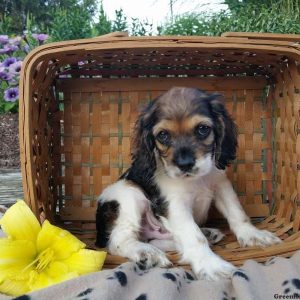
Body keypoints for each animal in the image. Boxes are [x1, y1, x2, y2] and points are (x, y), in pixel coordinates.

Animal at [96, 86, 282, 282]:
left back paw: (207, 234)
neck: (195, 180)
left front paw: (253, 235)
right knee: (118, 241)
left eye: (202, 129)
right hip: (130, 195)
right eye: (163, 135)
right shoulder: (175, 206)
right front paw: (211, 265)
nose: (184, 164)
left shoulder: (221, 185)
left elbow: (237, 212)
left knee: (158, 240)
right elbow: (193, 236)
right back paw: (147, 253)